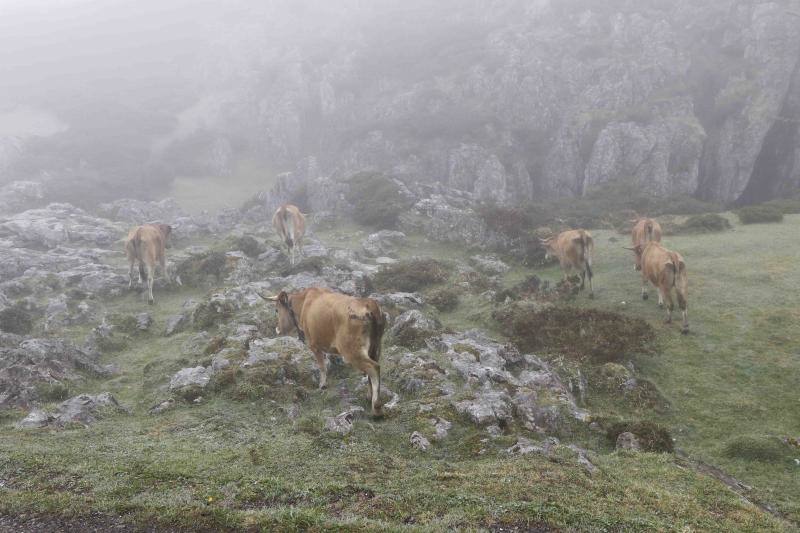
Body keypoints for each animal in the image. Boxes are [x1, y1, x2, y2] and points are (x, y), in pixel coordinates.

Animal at [262, 286, 388, 416]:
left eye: (277, 310)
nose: (277, 330)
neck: (304, 303)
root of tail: (369, 305)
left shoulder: (314, 345)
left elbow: (322, 366)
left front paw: (322, 385)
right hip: (375, 348)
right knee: (372, 371)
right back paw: (369, 396)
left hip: (352, 351)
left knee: (374, 368)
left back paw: (376, 407)